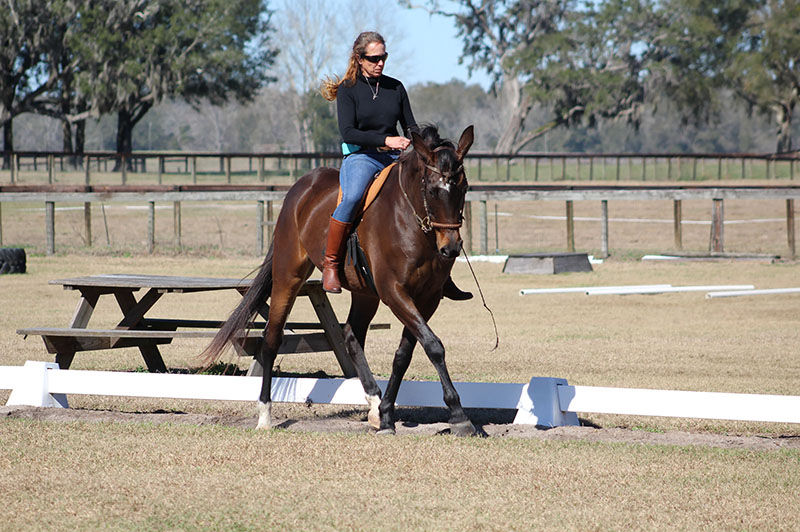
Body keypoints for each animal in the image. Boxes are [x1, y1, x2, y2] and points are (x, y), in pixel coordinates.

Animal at [203, 124, 476, 436]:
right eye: (432, 190)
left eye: (464, 187)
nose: (451, 248)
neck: (412, 221)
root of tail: (301, 187)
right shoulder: (394, 291)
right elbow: (433, 346)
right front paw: (459, 415)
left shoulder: (427, 298)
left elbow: (405, 354)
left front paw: (386, 414)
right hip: (288, 275)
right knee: (272, 338)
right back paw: (264, 415)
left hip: (364, 293)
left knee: (351, 335)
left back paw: (374, 406)